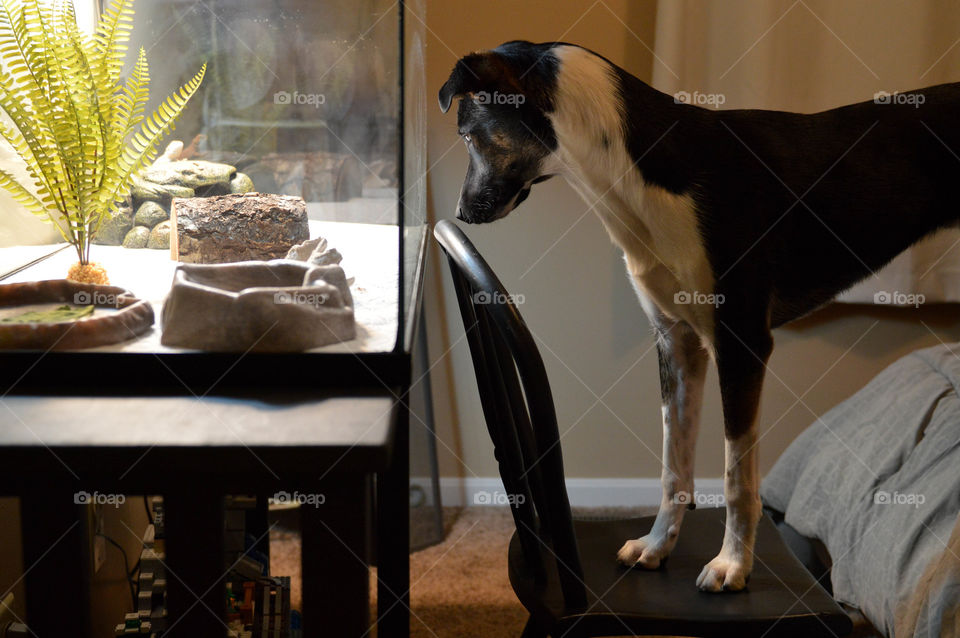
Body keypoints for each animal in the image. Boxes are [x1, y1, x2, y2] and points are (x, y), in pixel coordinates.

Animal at [438, 40, 960, 592]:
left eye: (468, 135)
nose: (463, 213)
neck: (638, 171)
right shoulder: (677, 341)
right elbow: (674, 467)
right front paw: (656, 546)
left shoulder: (741, 343)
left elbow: (736, 478)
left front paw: (733, 565)